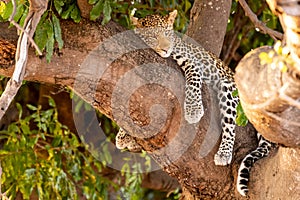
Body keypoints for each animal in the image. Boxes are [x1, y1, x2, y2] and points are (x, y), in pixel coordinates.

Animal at [116, 10, 274, 196]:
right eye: (153, 36)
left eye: (167, 34)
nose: (165, 48)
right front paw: (122, 135)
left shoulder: (192, 63)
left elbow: (193, 80)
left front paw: (193, 110)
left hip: (230, 88)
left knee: (230, 125)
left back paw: (224, 154)